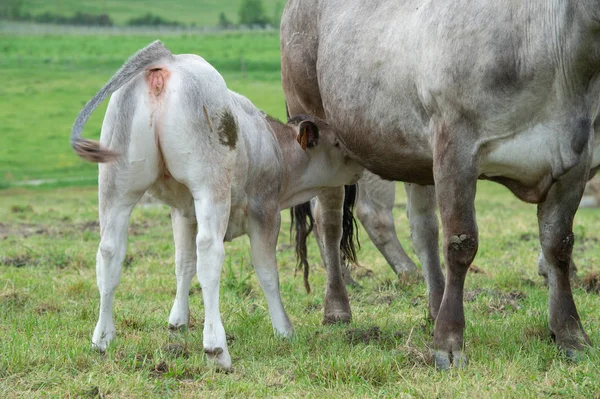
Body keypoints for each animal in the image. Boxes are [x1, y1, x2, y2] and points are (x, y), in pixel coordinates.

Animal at [282, 0, 600, 372]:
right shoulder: (456, 147)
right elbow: (461, 243)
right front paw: (449, 342)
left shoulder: (575, 158)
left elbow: (558, 246)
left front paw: (571, 335)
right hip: (317, 121)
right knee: (330, 221)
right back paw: (337, 308)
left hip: (416, 153)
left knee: (423, 228)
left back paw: (433, 306)